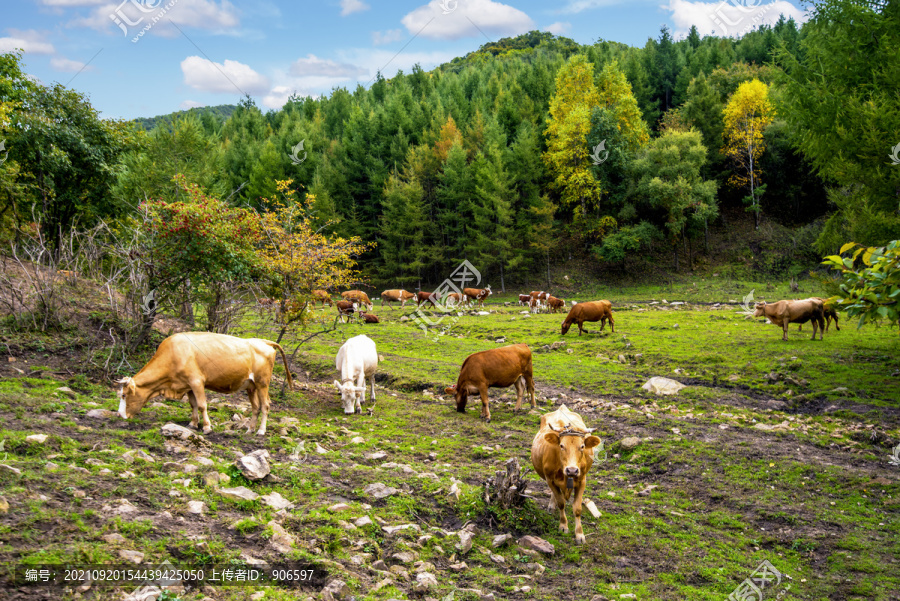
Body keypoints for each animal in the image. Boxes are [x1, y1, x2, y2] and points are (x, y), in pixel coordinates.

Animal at [116, 332, 292, 436]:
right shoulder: (187, 385)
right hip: (250, 386)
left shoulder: (197, 382)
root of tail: (263, 342)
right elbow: (193, 405)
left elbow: (202, 405)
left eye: (124, 395)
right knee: (255, 407)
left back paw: (261, 431)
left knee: (265, 406)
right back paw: (250, 429)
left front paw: (207, 427)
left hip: (262, 383)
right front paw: (193, 424)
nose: (119, 415)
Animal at [532, 404, 600, 544]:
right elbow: (561, 503)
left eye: (582, 446)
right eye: (562, 445)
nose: (572, 470)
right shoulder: (550, 480)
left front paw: (579, 534)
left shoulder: (582, 480)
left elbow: (577, 508)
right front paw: (563, 526)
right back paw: (551, 506)